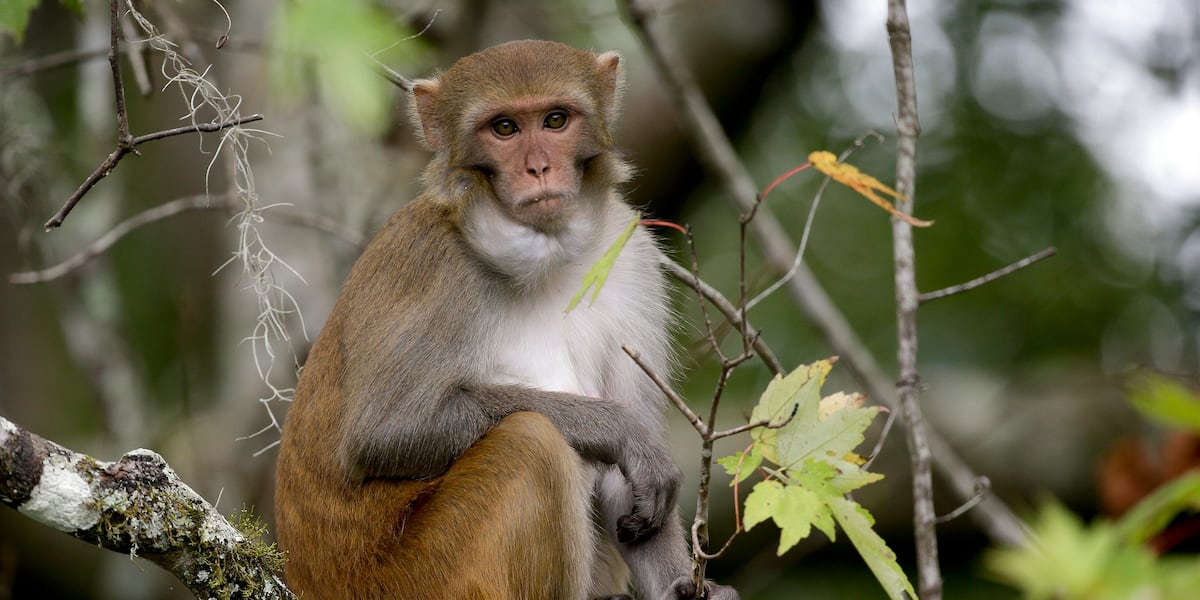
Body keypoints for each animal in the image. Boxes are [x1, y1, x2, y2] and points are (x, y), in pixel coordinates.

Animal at [274, 40, 738, 600]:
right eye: (504, 129)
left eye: (555, 120)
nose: (538, 168)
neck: (549, 253)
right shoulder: (434, 265)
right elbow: (384, 433)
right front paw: (619, 430)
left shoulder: (631, 257)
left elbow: (627, 492)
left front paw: (686, 587)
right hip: (415, 578)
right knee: (530, 442)